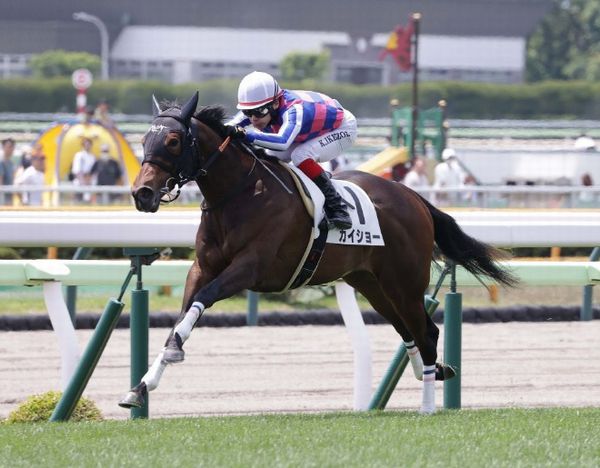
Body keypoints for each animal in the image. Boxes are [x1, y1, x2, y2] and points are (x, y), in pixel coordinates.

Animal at [119, 91, 517, 414]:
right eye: (143, 139)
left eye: (173, 140)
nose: (142, 193)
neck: (238, 193)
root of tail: (414, 197)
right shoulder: (202, 266)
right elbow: (184, 314)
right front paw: (141, 386)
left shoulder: (250, 267)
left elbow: (204, 298)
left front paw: (169, 356)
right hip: (372, 283)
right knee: (410, 330)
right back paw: (430, 371)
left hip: (404, 282)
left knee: (427, 332)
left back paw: (430, 403)